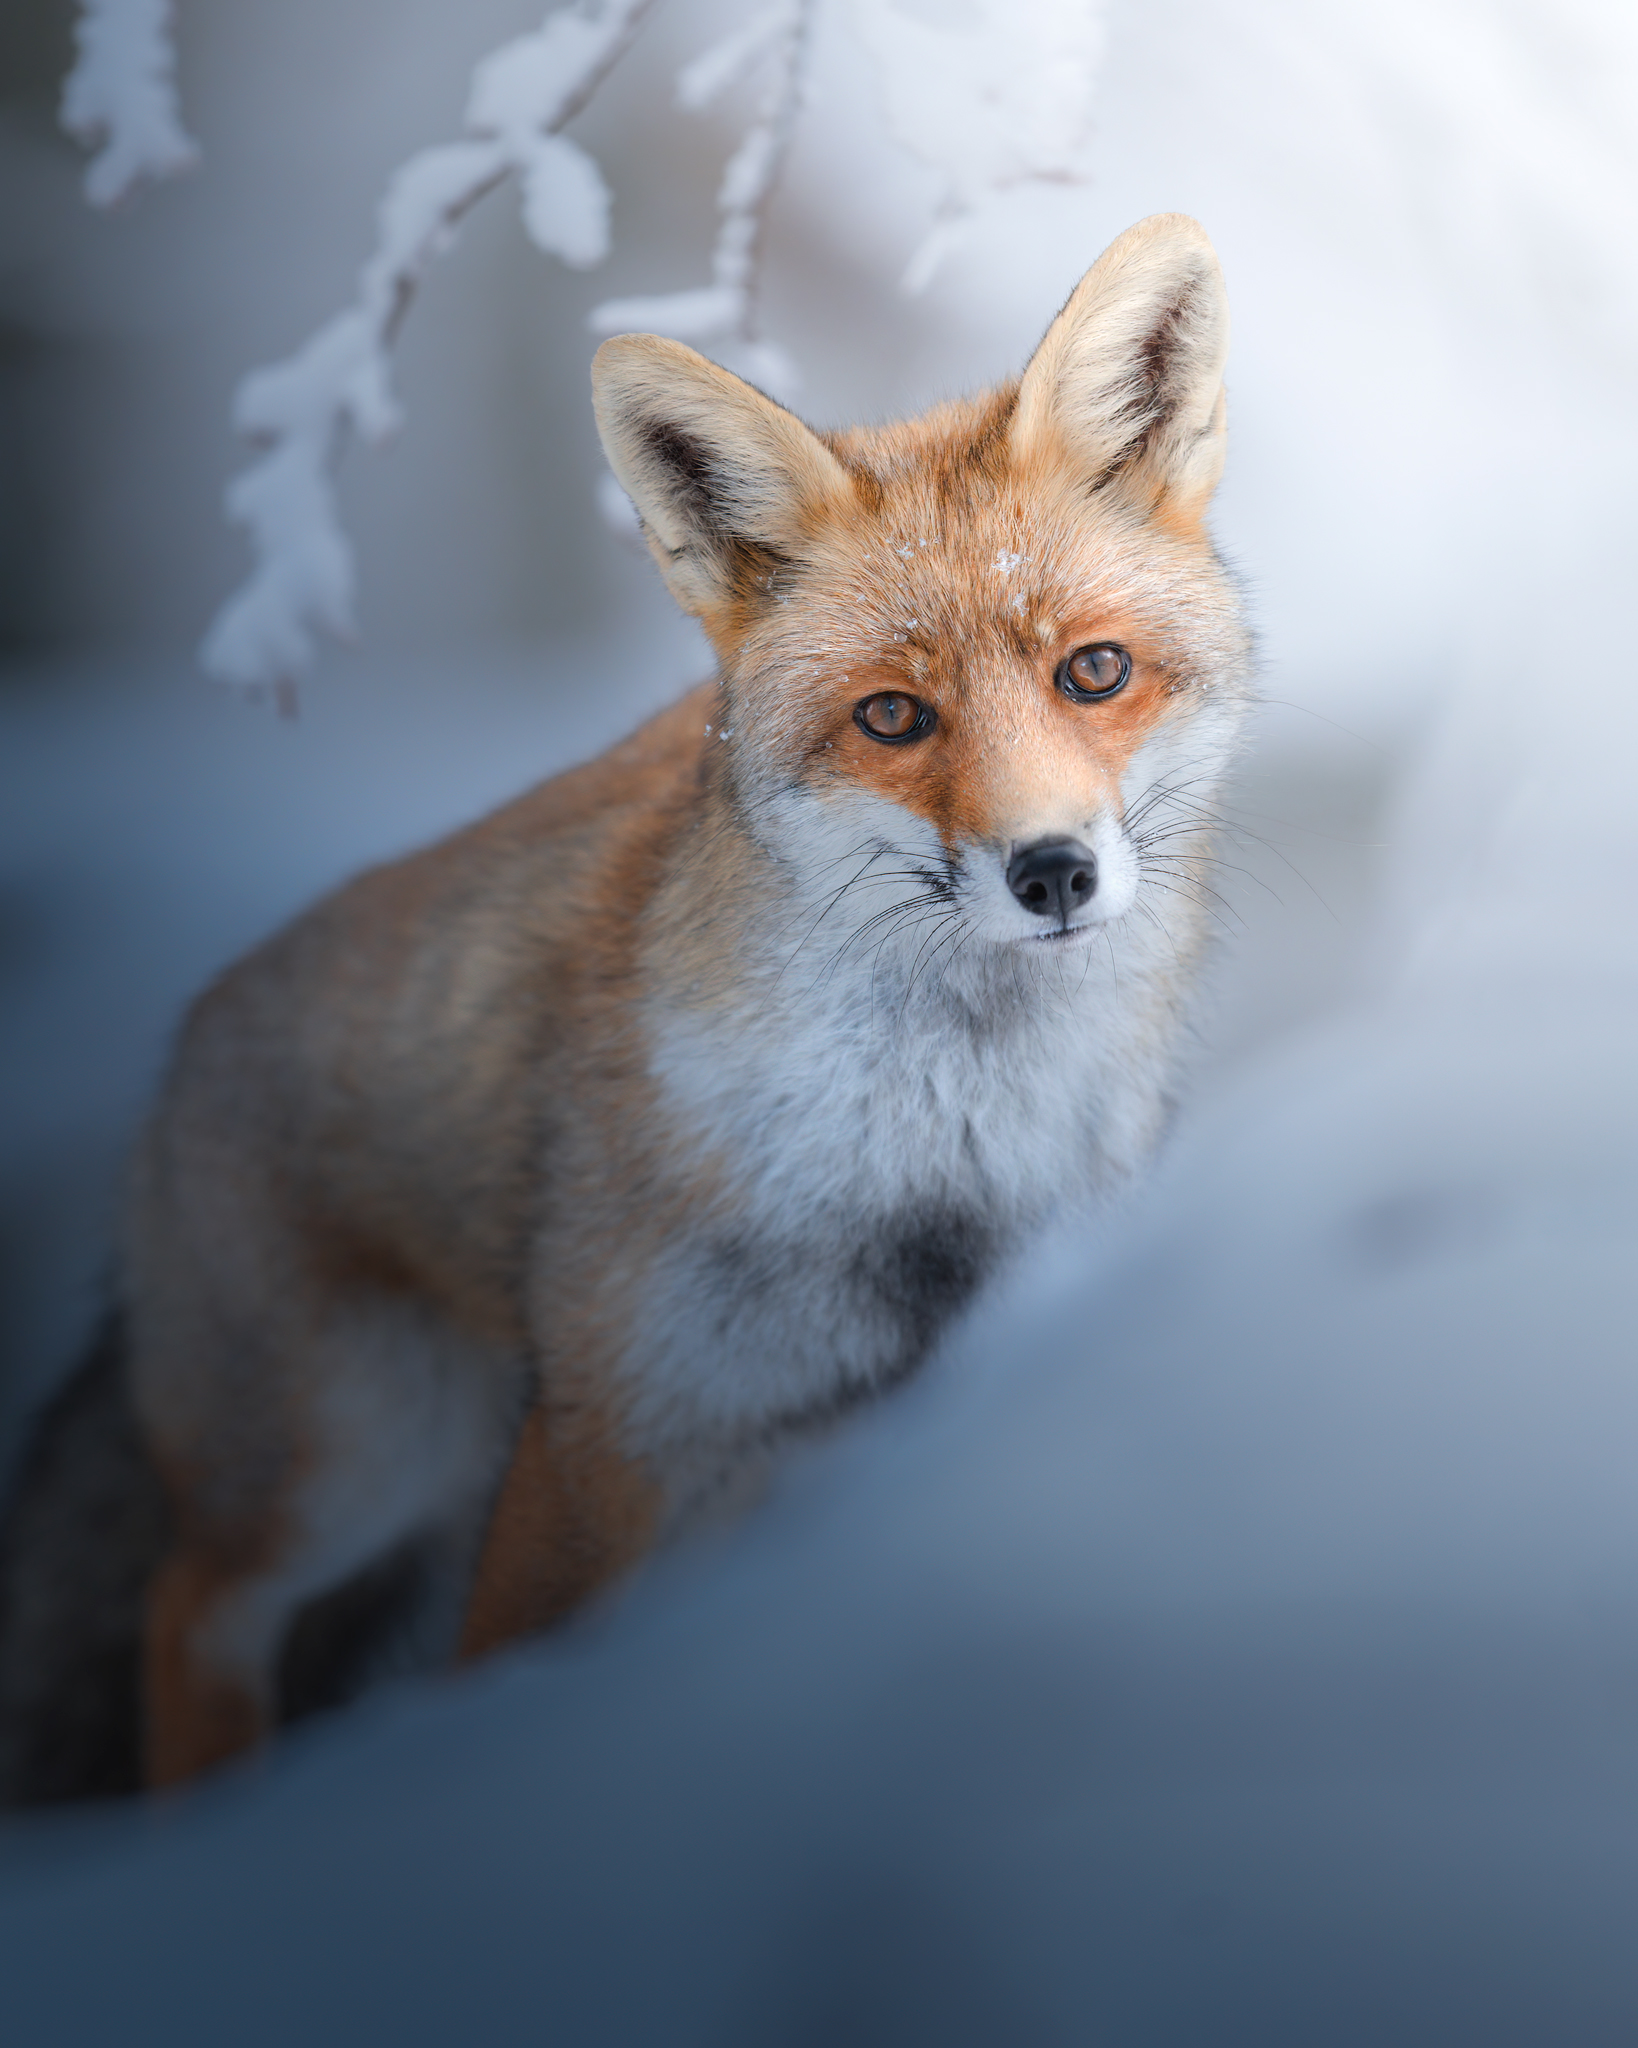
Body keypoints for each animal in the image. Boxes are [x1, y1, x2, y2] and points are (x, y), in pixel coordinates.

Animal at [0, 214, 1251, 1799]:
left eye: (1093, 671)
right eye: (892, 717)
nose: (1053, 872)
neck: (930, 1158)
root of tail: (178, 1055)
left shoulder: (893, 1418)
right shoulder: (608, 1429)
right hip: (360, 1456)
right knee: (191, 1609)